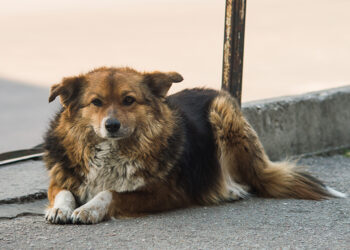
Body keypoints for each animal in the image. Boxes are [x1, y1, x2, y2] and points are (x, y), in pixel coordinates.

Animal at [43, 67, 344, 225]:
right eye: (96, 102)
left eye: (129, 100)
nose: (112, 125)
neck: (113, 149)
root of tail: (214, 90)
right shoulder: (62, 177)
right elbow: (64, 192)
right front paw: (60, 208)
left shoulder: (164, 192)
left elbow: (110, 192)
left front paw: (88, 209)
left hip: (223, 115)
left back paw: (229, 189)